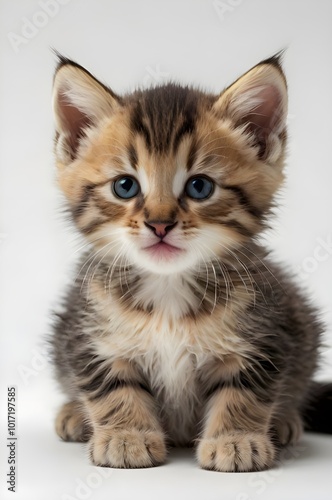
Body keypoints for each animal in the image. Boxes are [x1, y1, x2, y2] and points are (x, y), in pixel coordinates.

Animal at [51, 54, 326, 472]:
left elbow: (244, 389)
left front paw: (236, 440)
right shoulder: (88, 332)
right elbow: (111, 384)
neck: (168, 287)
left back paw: (285, 421)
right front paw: (126, 436)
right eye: (125, 186)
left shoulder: (265, 331)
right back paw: (72, 414)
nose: (159, 223)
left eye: (200, 187)